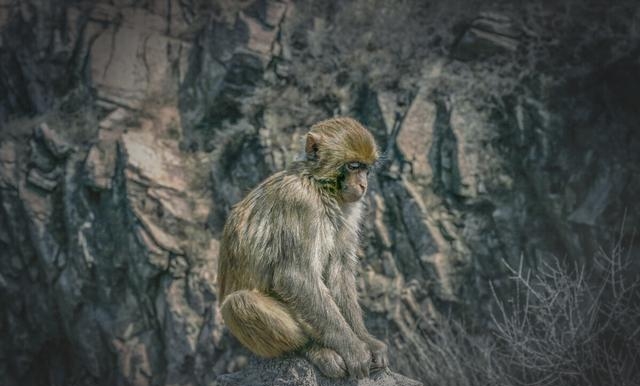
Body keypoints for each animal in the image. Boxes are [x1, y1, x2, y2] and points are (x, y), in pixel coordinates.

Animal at [218, 116, 388, 378]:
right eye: (353, 166)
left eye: (366, 168)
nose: (363, 185)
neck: (319, 185)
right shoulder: (301, 204)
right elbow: (295, 277)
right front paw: (353, 350)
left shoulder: (350, 210)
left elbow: (339, 273)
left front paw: (365, 340)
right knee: (238, 303)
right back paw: (313, 348)